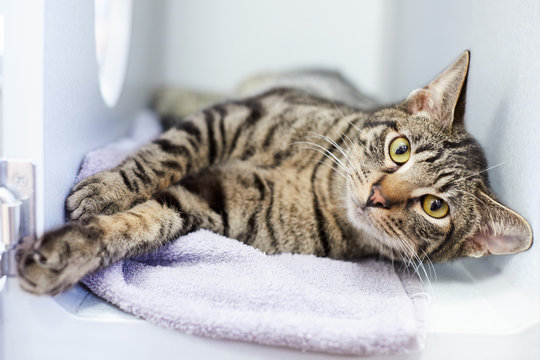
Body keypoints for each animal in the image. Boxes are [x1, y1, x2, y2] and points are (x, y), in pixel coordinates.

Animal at [15, 50, 532, 296]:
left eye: (434, 207)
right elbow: (166, 154)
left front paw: (64, 254)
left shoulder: (214, 201)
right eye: (400, 149)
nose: (377, 195)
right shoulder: (235, 117)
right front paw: (106, 189)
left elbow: (141, 224)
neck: (320, 182)